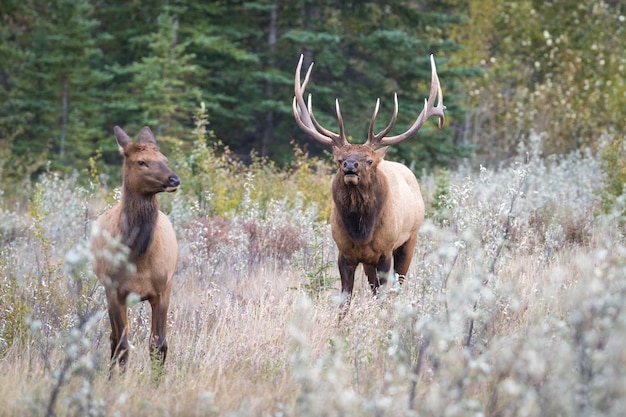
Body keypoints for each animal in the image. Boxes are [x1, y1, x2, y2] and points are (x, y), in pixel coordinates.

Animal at [92, 125, 180, 368]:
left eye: (164, 158)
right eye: (142, 161)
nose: (174, 179)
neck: (138, 258)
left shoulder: (162, 289)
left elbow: (158, 345)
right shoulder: (115, 292)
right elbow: (122, 345)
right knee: (113, 340)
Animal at [292, 53, 444, 314]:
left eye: (369, 160)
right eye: (339, 159)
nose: (350, 166)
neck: (361, 231)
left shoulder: (385, 252)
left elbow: (384, 295)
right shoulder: (345, 253)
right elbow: (345, 300)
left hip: (409, 240)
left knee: (397, 285)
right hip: (370, 261)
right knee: (374, 288)